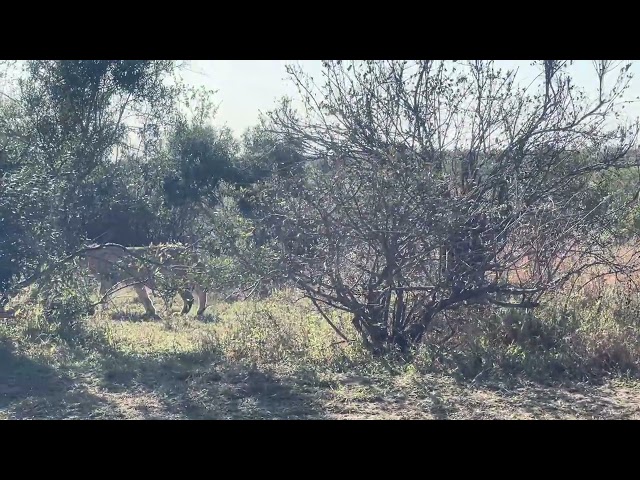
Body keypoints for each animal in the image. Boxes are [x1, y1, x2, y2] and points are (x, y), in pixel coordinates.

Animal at [76, 243, 208, 318]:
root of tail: (191, 252)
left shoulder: (108, 280)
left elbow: (103, 296)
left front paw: (98, 311)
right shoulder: (137, 283)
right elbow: (144, 298)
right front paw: (150, 312)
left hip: (177, 280)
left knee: (190, 297)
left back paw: (182, 313)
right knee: (200, 291)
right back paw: (199, 311)